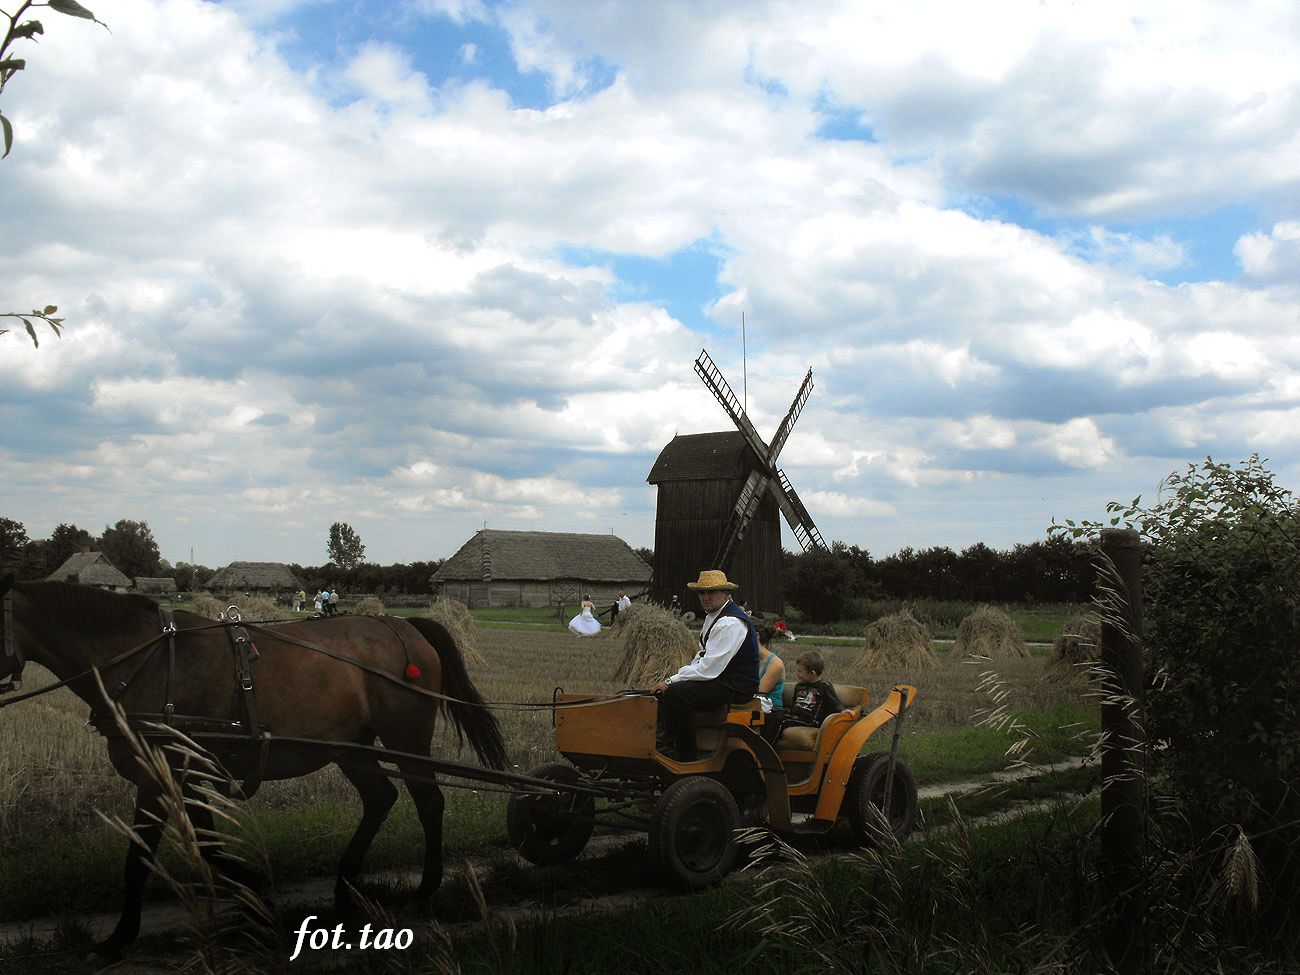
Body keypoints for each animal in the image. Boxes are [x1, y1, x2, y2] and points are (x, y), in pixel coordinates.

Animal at [0, 577, 504, 956]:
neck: (147, 659)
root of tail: (405, 626)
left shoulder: (161, 774)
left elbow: (141, 858)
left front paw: (122, 936)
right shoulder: (187, 776)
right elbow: (207, 847)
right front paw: (249, 898)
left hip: (405, 738)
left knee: (429, 803)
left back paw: (425, 888)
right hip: (349, 747)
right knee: (381, 798)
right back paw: (345, 886)